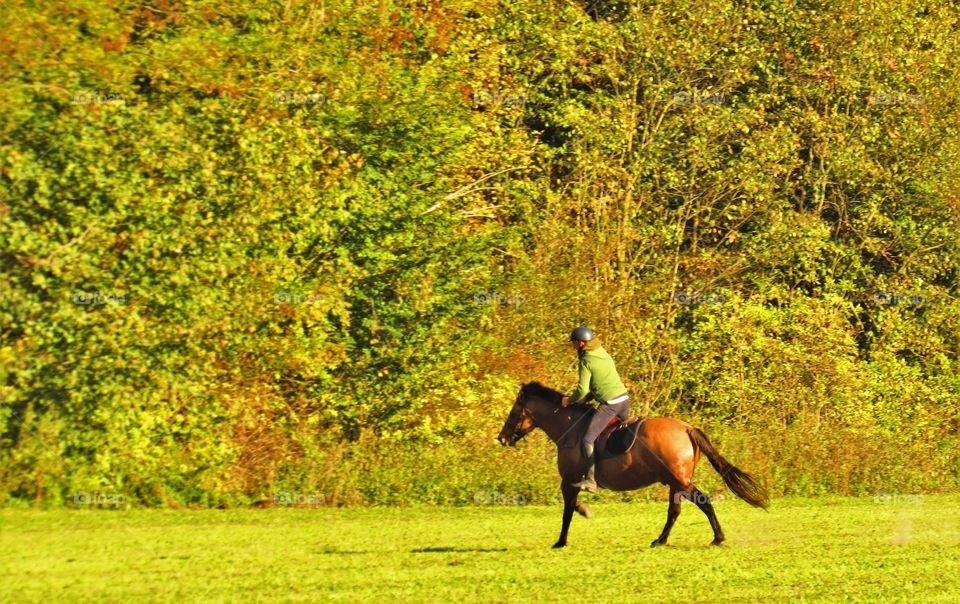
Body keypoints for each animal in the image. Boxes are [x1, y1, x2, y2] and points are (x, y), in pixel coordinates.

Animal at [498, 382, 768, 548]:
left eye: (513, 413)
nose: (502, 438)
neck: (569, 428)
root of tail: (687, 428)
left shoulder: (569, 481)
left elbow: (567, 512)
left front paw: (561, 541)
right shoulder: (570, 483)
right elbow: (571, 507)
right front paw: (584, 512)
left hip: (679, 480)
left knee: (703, 502)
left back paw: (717, 537)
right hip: (675, 482)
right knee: (675, 511)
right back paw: (660, 540)